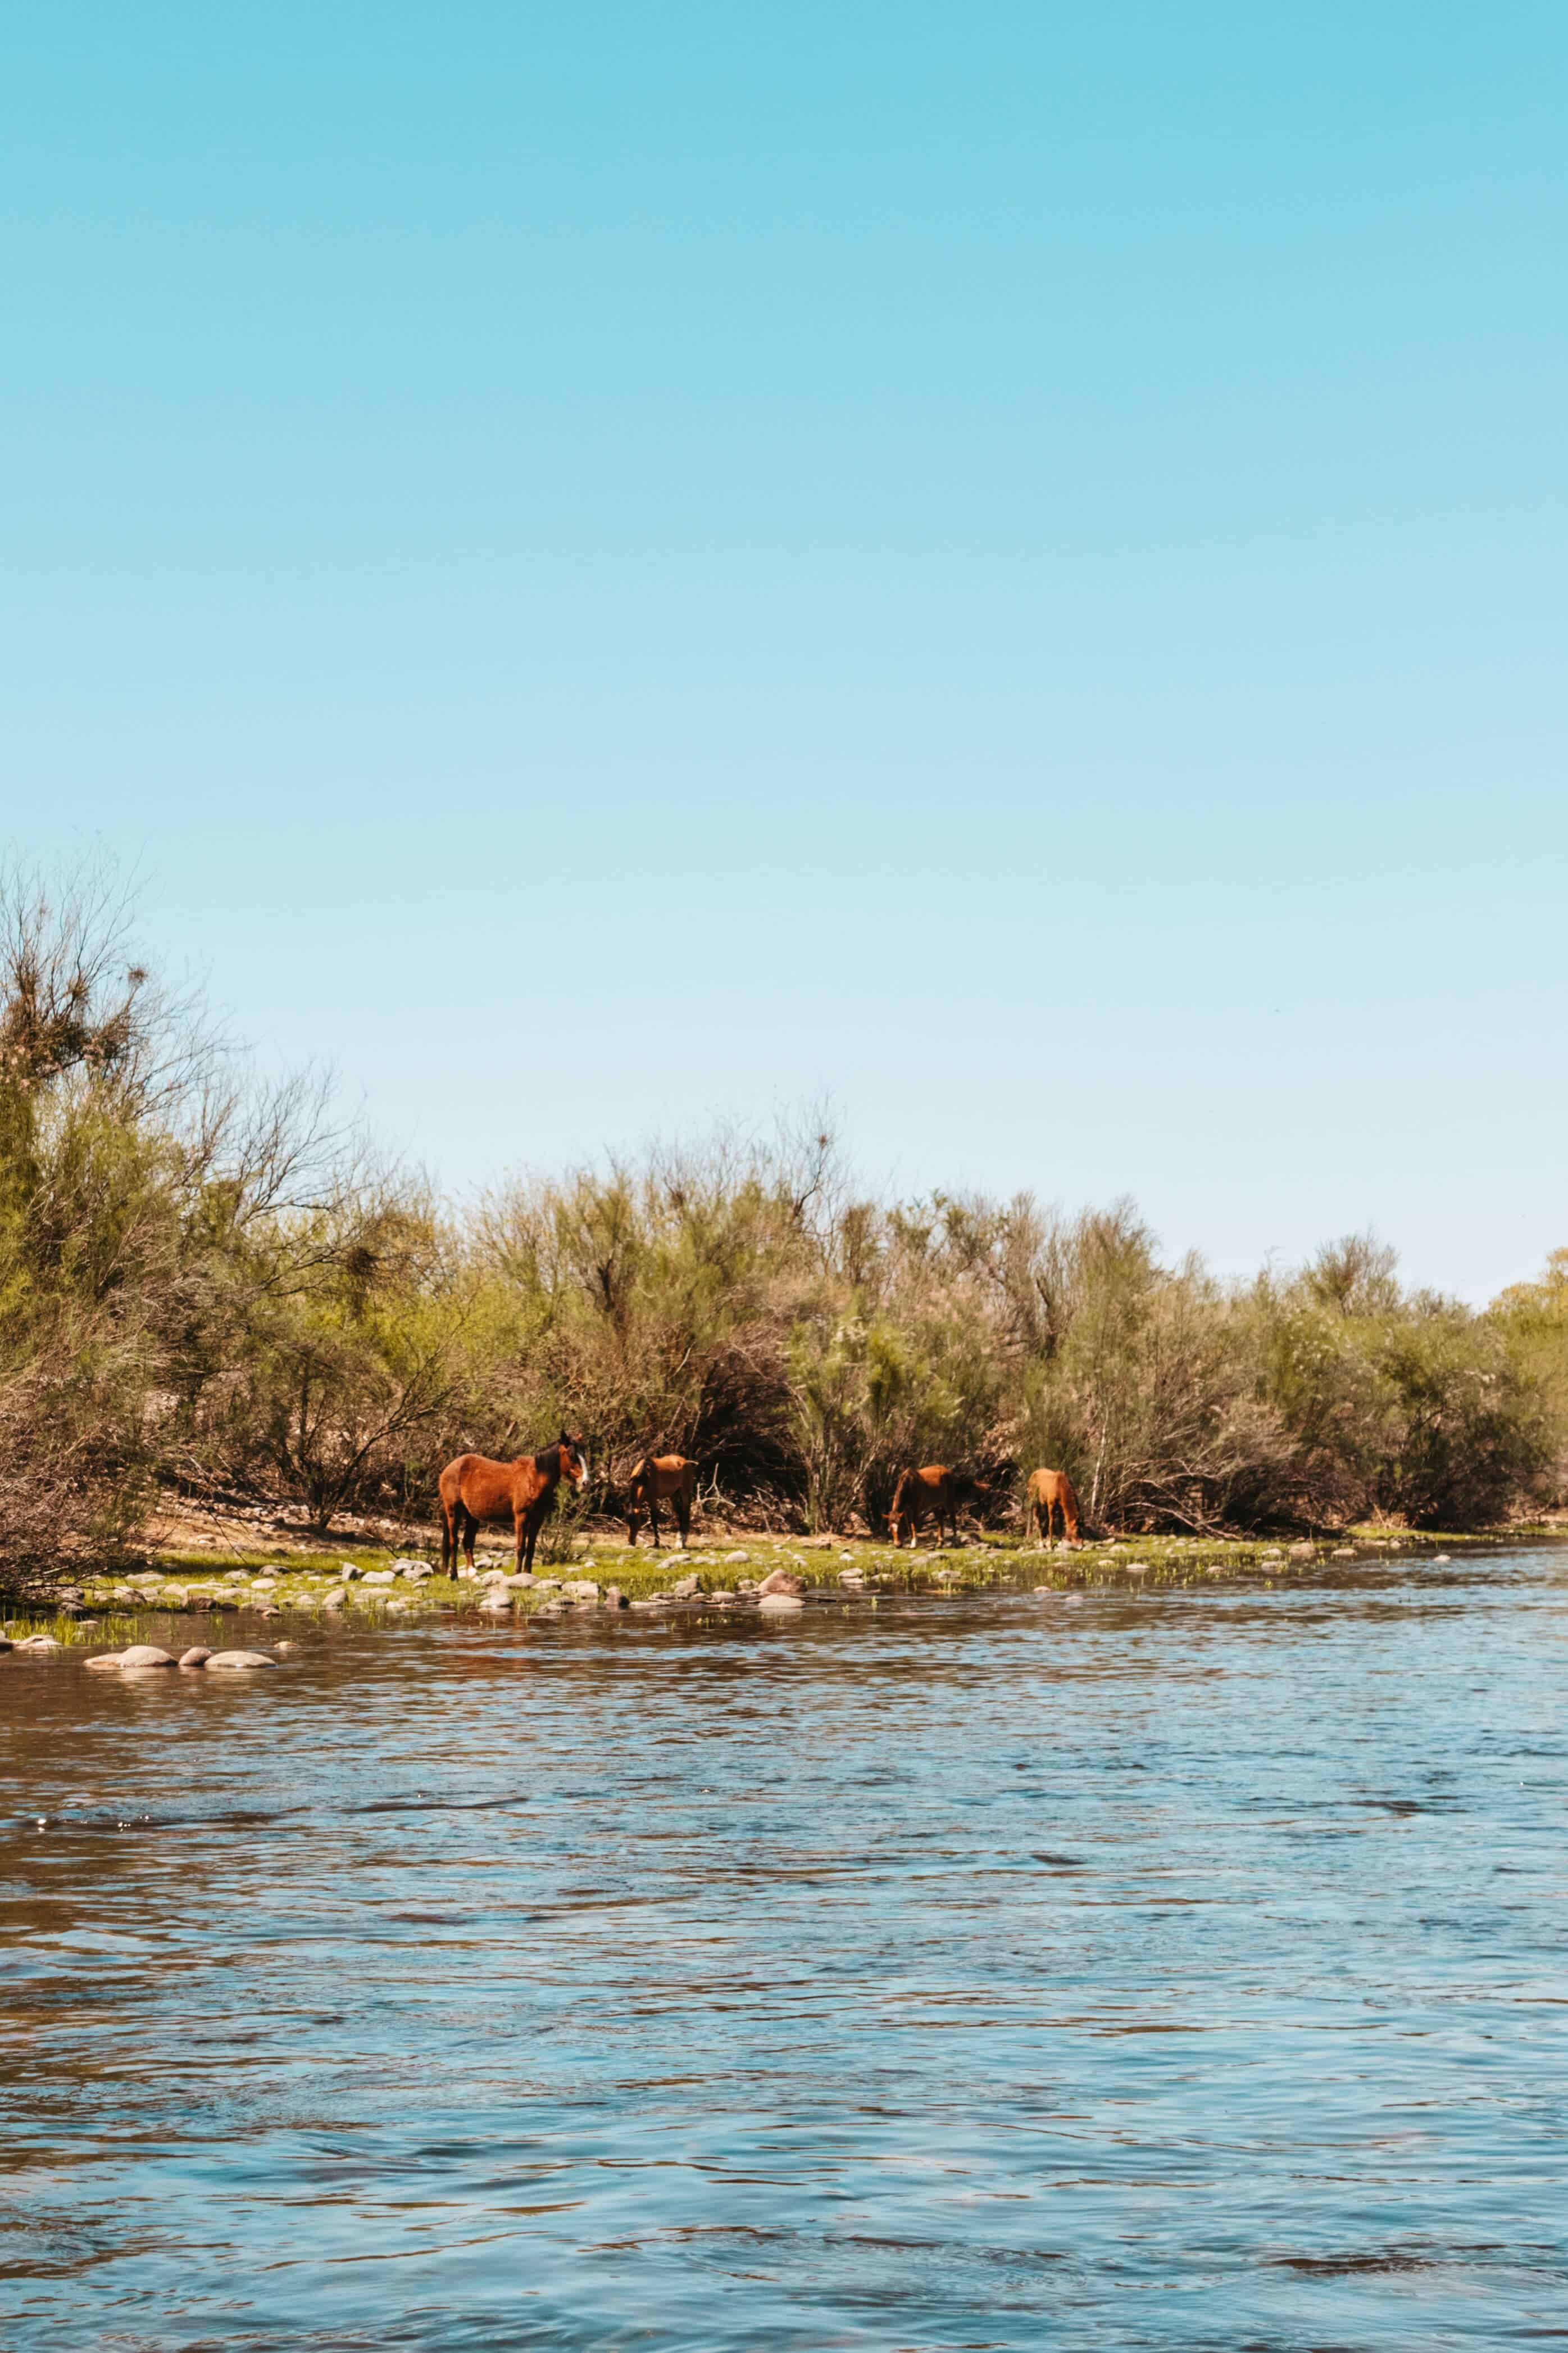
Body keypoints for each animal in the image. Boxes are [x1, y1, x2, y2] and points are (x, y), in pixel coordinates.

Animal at [439, 1430, 585, 1581]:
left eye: (584, 1453)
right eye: (572, 1455)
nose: (585, 1482)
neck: (533, 1479)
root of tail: (449, 1468)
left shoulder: (537, 1519)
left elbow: (531, 1548)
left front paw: (527, 1574)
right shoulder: (521, 1517)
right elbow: (521, 1548)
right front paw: (517, 1574)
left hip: (472, 1516)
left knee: (467, 1542)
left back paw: (473, 1574)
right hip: (454, 1511)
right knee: (454, 1542)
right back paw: (454, 1575)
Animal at [625, 1449, 700, 1543]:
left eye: (636, 1522)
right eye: (627, 1522)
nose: (631, 1542)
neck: (645, 1477)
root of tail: (687, 1462)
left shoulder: (653, 1500)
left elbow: (654, 1520)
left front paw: (657, 1543)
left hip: (685, 1493)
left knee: (686, 1512)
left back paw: (683, 1540)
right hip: (674, 1496)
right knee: (679, 1513)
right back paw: (680, 1538)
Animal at [888, 1458, 963, 1553]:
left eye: (900, 1528)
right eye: (890, 1529)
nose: (898, 1545)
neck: (908, 1485)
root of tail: (947, 1471)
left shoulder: (916, 1508)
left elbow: (913, 1524)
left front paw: (914, 1544)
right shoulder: (906, 1510)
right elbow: (909, 1525)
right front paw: (911, 1542)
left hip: (948, 1500)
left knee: (952, 1519)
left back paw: (956, 1542)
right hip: (936, 1504)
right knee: (940, 1520)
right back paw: (940, 1543)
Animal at [1029, 1468, 1081, 1543]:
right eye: (1077, 1532)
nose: (1082, 1545)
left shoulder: (1061, 1509)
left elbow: (1060, 1526)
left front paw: (1060, 1541)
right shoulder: (1051, 1505)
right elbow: (1052, 1525)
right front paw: (1051, 1544)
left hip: (1044, 1504)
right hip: (1035, 1502)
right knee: (1037, 1519)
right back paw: (1041, 1541)